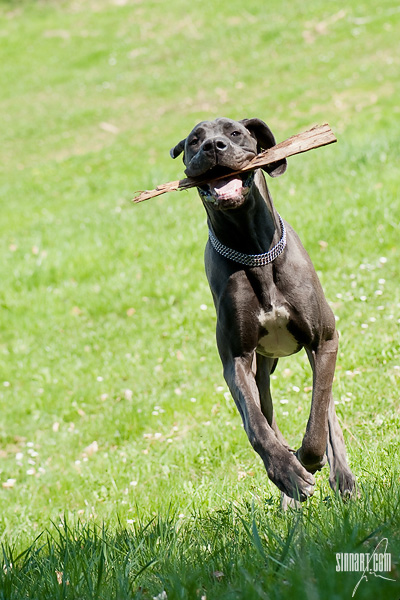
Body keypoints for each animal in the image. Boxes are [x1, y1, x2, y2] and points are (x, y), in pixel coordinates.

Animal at [170, 117, 354, 502]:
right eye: (194, 141)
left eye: (235, 132)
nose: (213, 147)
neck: (253, 252)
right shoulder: (237, 361)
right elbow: (256, 425)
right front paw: (288, 471)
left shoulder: (323, 341)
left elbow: (318, 418)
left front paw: (309, 460)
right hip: (262, 368)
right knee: (267, 414)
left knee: (326, 406)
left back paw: (342, 478)